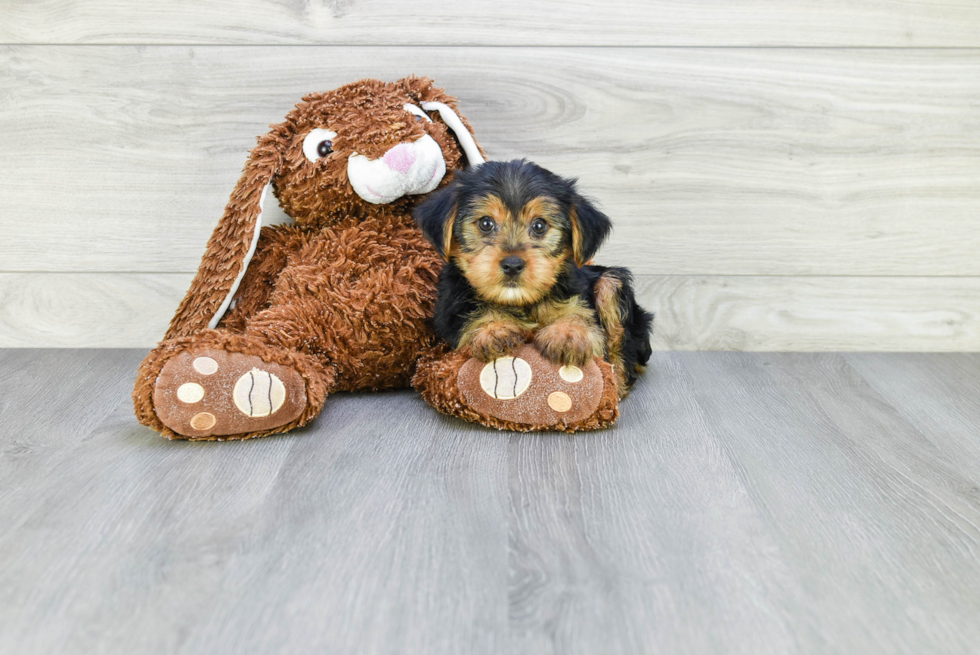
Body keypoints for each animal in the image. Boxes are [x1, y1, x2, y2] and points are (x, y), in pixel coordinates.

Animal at [412, 159, 652, 394]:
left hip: (611, 283)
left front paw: (568, 332)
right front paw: (493, 327)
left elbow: (577, 311)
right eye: (485, 223)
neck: (520, 301)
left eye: (539, 225)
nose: (512, 265)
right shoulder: (450, 309)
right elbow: (469, 313)